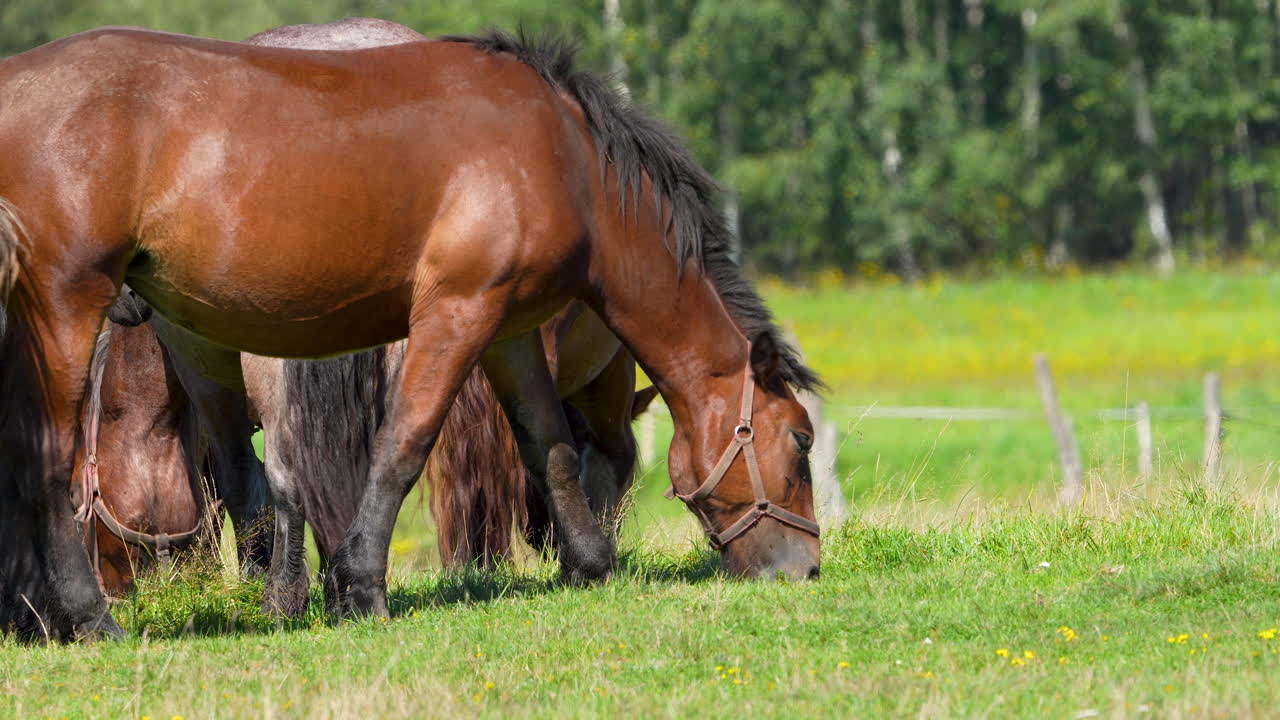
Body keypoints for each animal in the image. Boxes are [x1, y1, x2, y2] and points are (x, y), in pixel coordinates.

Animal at [0, 27, 822, 641]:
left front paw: (591, 564)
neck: (564, 154)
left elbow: (549, 448)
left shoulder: (510, 331)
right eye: (801, 441)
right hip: (69, 306)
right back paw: (89, 619)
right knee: (53, 463)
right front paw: (360, 586)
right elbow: (403, 446)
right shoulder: (456, 314)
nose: (807, 568)